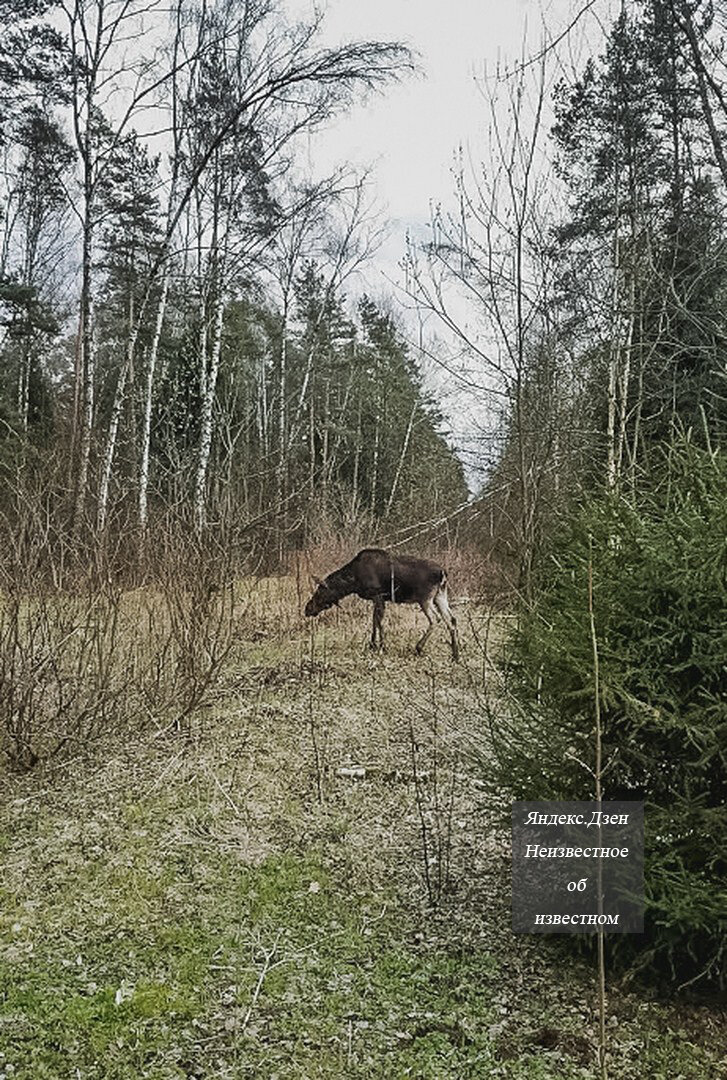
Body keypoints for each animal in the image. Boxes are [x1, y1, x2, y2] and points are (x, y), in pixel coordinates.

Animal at [302, 544, 455, 660]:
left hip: (425, 598)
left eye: (319, 592)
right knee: (451, 619)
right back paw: (455, 654)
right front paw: (373, 644)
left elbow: (378, 621)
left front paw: (382, 646)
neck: (353, 582)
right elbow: (374, 620)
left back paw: (419, 647)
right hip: (440, 595)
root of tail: (443, 572)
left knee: (436, 619)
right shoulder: (376, 599)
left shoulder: (378, 596)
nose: (307, 609)